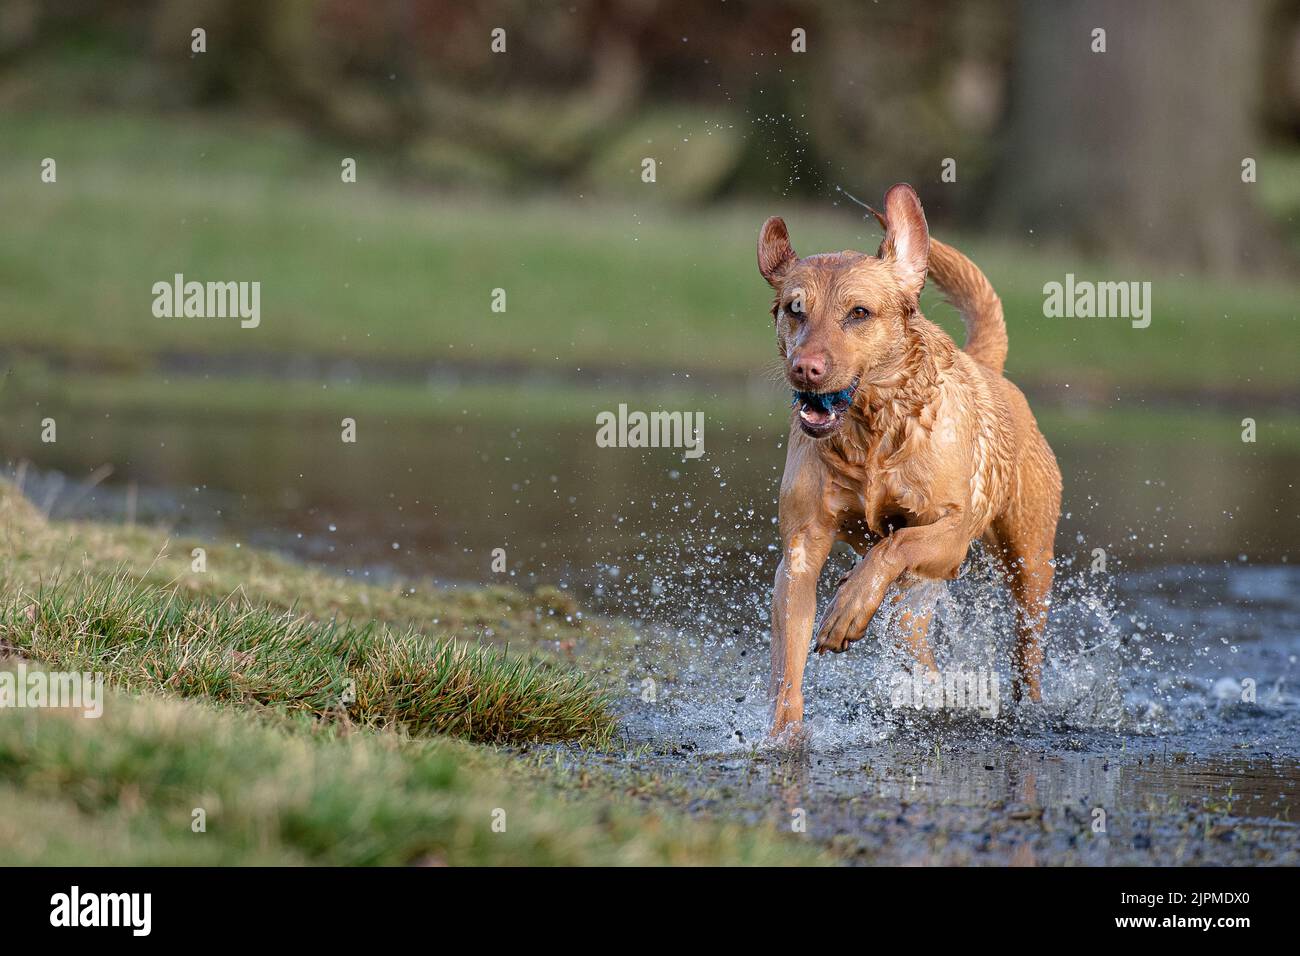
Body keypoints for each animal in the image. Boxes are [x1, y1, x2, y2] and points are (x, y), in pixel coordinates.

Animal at [759, 187, 1060, 738]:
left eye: (858, 312)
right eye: (794, 309)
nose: (805, 368)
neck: (869, 439)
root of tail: (986, 364)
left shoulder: (953, 535)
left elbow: (895, 544)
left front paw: (847, 607)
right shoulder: (800, 549)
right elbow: (789, 663)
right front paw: (784, 736)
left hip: (1030, 563)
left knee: (1027, 652)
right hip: (915, 606)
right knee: (912, 641)